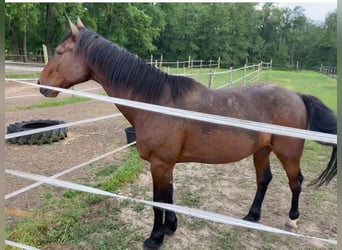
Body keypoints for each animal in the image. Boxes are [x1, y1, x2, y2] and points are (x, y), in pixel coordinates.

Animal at [38, 18, 336, 249]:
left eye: (60, 52)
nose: (41, 84)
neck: (155, 101)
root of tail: (297, 96)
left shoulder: (159, 164)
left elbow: (158, 202)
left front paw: (155, 238)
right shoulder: (166, 164)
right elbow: (169, 197)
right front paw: (170, 228)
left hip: (288, 152)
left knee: (296, 182)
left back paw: (292, 219)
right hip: (261, 151)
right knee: (264, 180)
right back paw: (252, 216)